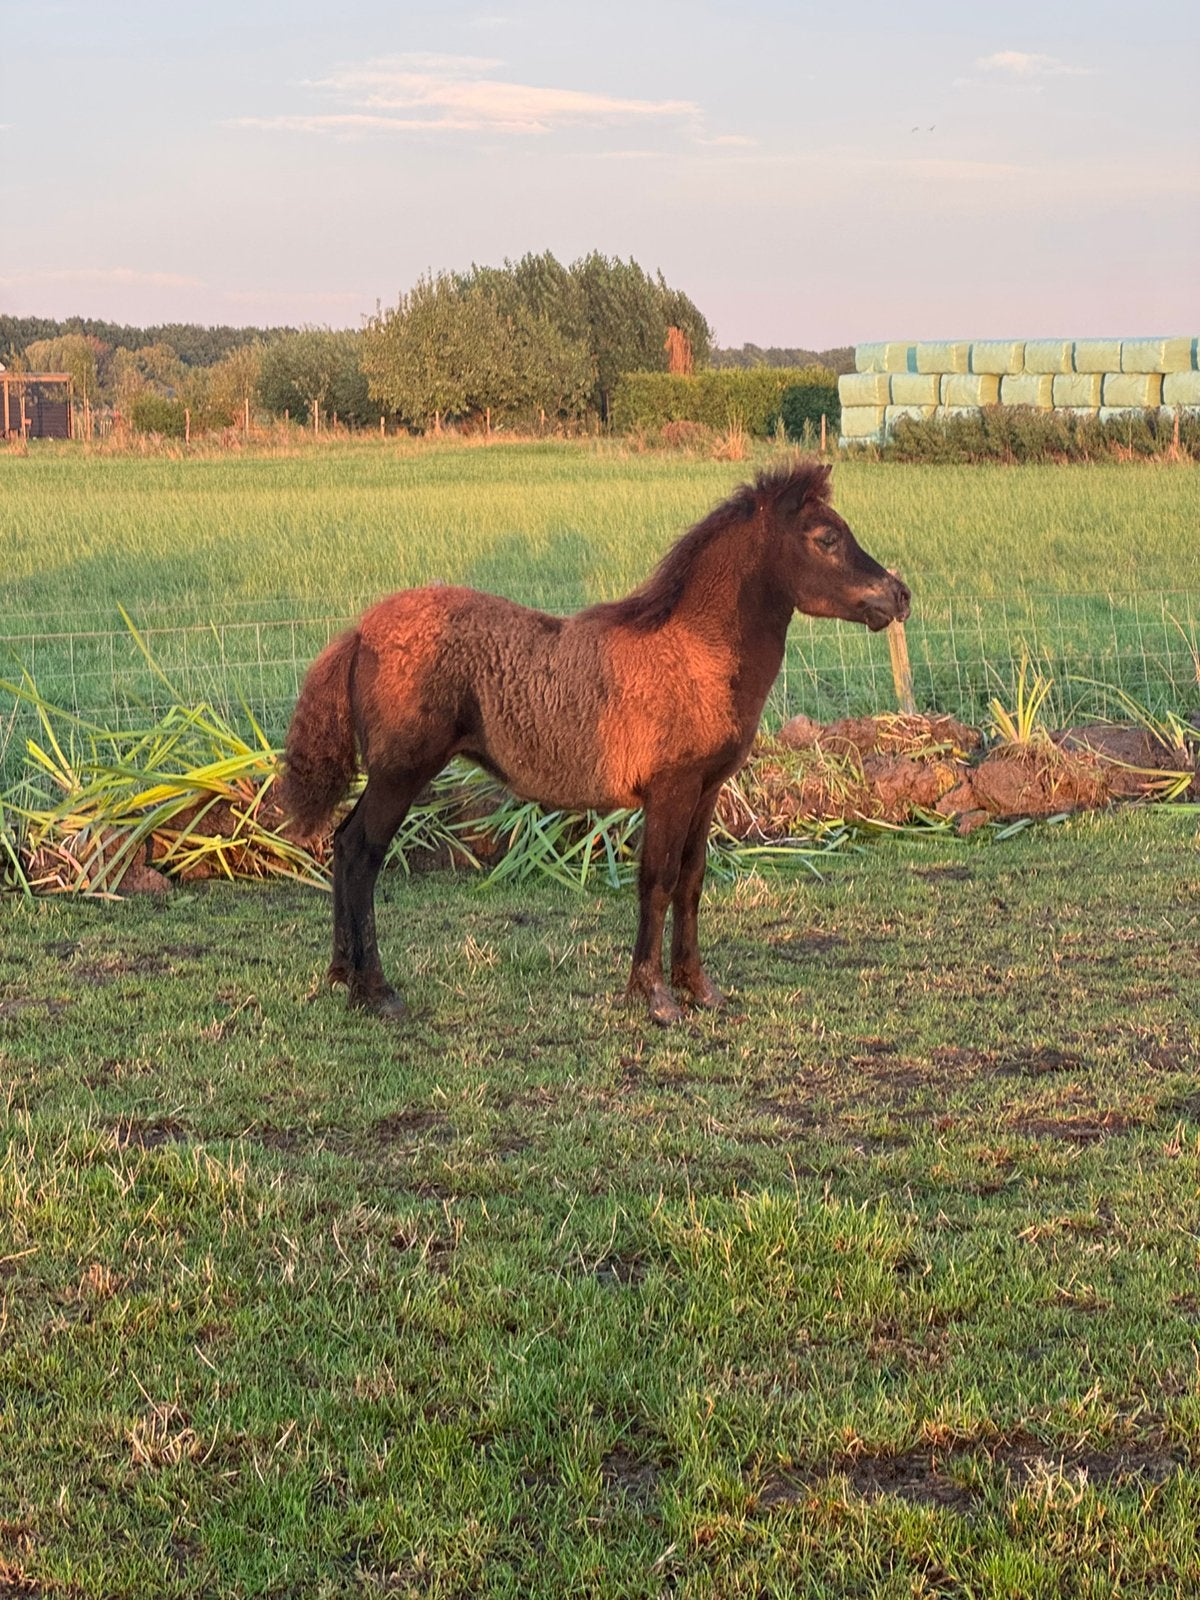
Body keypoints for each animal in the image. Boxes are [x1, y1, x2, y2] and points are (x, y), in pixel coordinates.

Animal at [280, 459, 910, 1025]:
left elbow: (691, 881)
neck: (694, 652)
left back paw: (340, 977)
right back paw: (375, 991)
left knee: (342, 844)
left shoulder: (706, 791)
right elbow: (656, 880)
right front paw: (654, 997)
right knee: (363, 853)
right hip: (402, 771)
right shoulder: (671, 789)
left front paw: (699, 989)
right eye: (826, 538)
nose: (899, 595)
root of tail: (360, 630)